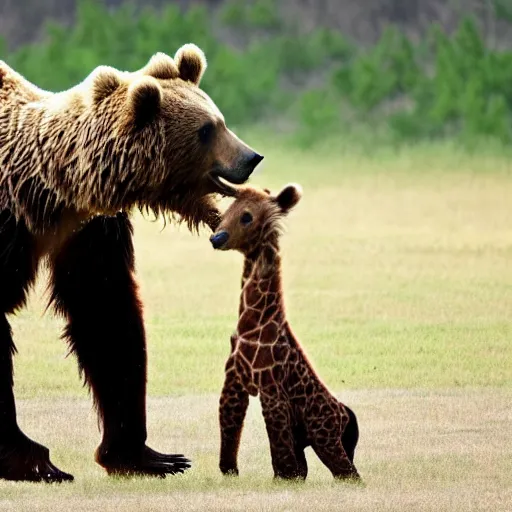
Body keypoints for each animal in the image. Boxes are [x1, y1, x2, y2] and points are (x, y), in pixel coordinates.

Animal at [0, 42, 264, 482]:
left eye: (221, 121)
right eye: (206, 130)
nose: (251, 157)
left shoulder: (87, 230)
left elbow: (106, 312)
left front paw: (146, 455)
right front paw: (33, 460)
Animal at [208, 186, 360, 482]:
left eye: (247, 216)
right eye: (227, 209)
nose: (216, 238)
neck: (253, 324)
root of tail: (346, 415)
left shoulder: (270, 386)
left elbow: (277, 441)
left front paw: (282, 478)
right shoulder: (234, 379)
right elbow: (229, 423)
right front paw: (230, 471)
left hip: (325, 438)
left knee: (350, 474)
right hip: (310, 440)